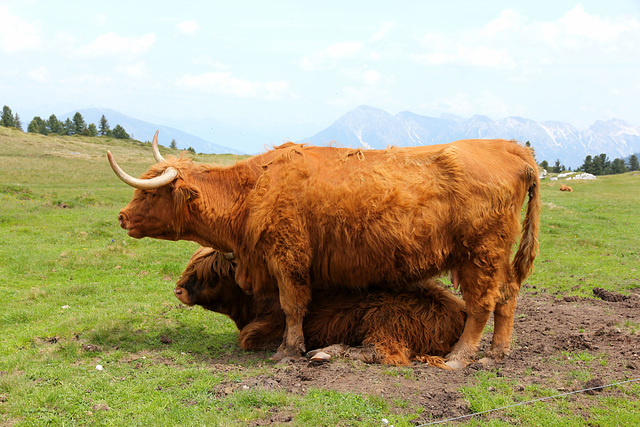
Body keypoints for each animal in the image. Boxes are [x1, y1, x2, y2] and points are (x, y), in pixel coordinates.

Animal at [174, 247, 464, 368]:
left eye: (213, 273)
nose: (178, 290)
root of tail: (457, 310)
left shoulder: (268, 327)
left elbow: (247, 339)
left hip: (383, 319)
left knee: (385, 354)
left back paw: (323, 352)